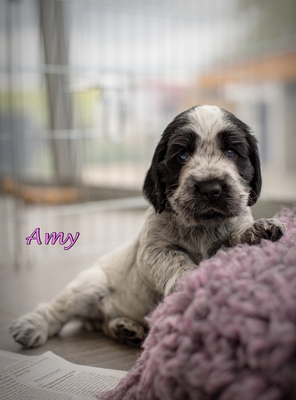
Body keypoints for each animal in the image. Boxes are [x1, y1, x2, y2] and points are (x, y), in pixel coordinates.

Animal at [9, 105, 284, 346]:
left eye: (231, 153)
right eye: (182, 155)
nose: (210, 188)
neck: (201, 226)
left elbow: (236, 234)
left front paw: (260, 229)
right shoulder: (153, 251)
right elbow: (176, 260)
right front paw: (188, 280)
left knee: (103, 324)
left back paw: (124, 328)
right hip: (89, 287)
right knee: (56, 310)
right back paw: (32, 326)